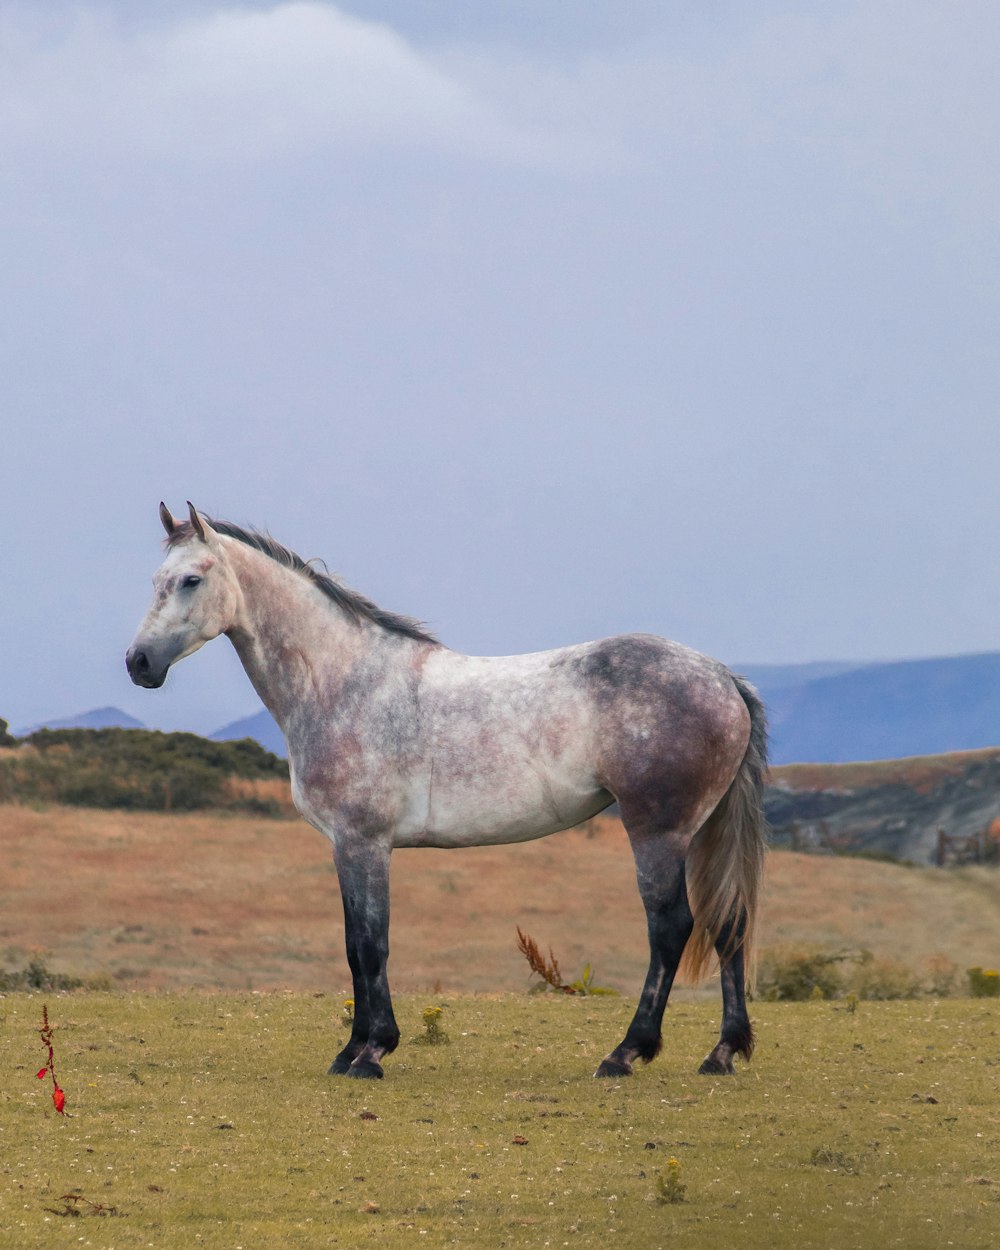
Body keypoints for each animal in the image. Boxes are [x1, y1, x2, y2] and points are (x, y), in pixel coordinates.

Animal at [125, 502, 765, 1080]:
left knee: (671, 927)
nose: (138, 662)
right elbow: (355, 944)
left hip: (658, 831)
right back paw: (721, 1054)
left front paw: (372, 1053)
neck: (345, 682)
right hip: (700, 830)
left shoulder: (363, 842)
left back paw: (625, 1054)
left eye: (191, 579)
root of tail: (720, 676)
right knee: (727, 924)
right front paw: (350, 1052)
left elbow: (371, 944)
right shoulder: (346, 846)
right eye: (155, 581)